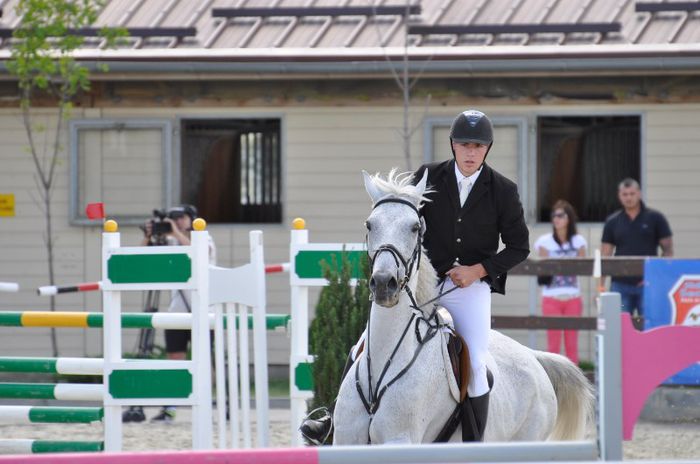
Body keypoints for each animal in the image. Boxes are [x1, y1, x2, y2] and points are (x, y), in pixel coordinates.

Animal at [330, 170, 592, 446]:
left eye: (415, 227)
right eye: (370, 225)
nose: (383, 284)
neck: (385, 360)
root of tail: (534, 358)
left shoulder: (400, 440)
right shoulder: (345, 440)